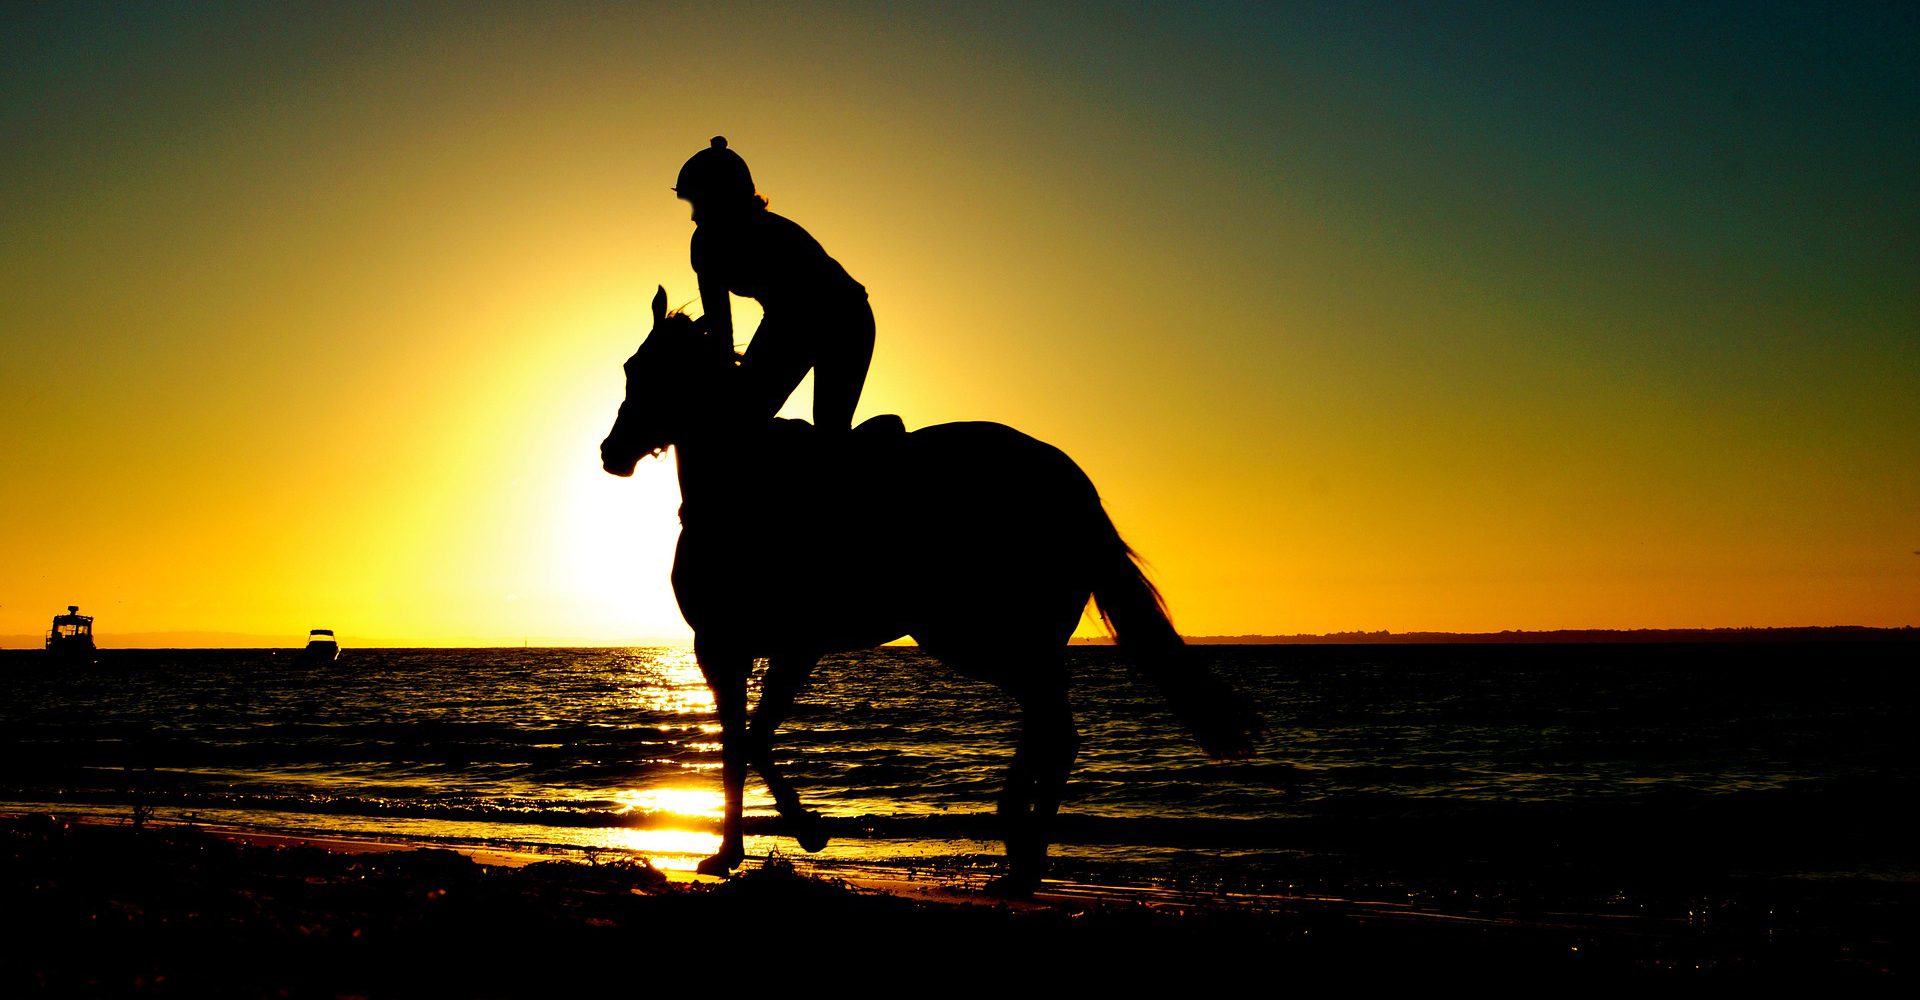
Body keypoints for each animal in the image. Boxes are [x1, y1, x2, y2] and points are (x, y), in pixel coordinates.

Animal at [600, 286, 1258, 894]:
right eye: (633, 368)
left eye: (650, 373)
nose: (612, 452)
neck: (740, 488)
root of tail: (1075, 485)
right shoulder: (731, 648)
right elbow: (738, 746)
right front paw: (730, 851)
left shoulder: (777, 645)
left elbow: (754, 740)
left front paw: (804, 831)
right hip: (1003, 639)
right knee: (1051, 723)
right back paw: (1019, 851)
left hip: (980, 636)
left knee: (1055, 727)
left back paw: (1022, 853)